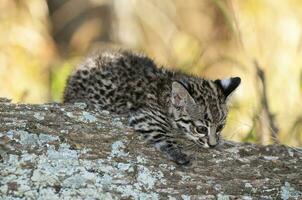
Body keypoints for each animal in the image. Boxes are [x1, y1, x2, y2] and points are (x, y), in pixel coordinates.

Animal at [64, 49, 241, 165]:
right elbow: (163, 136)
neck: (165, 93)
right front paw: (178, 153)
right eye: (201, 129)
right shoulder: (147, 117)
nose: (213, 145)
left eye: (220, 127)